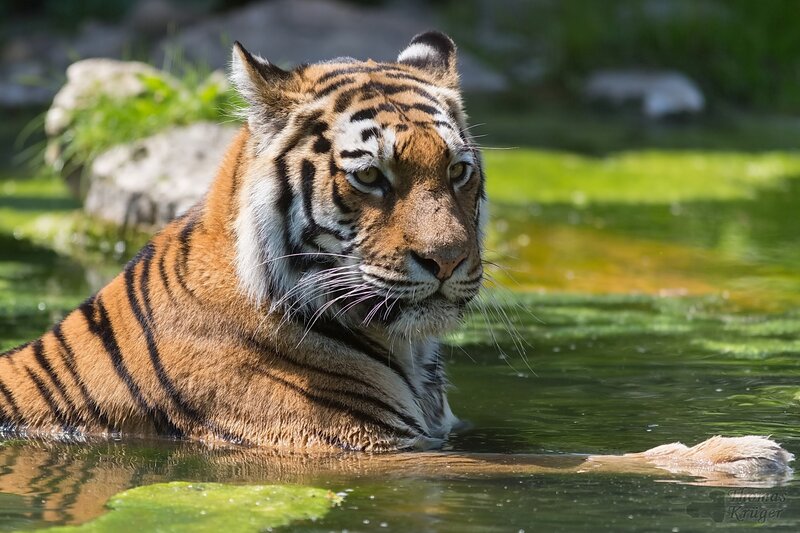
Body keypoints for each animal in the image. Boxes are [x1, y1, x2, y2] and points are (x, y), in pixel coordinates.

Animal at [0, 31, 792, 478]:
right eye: (371, 177)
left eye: (459, 171)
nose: (447, 261)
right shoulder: (361, 449)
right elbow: (576, 460)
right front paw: (739, 455)